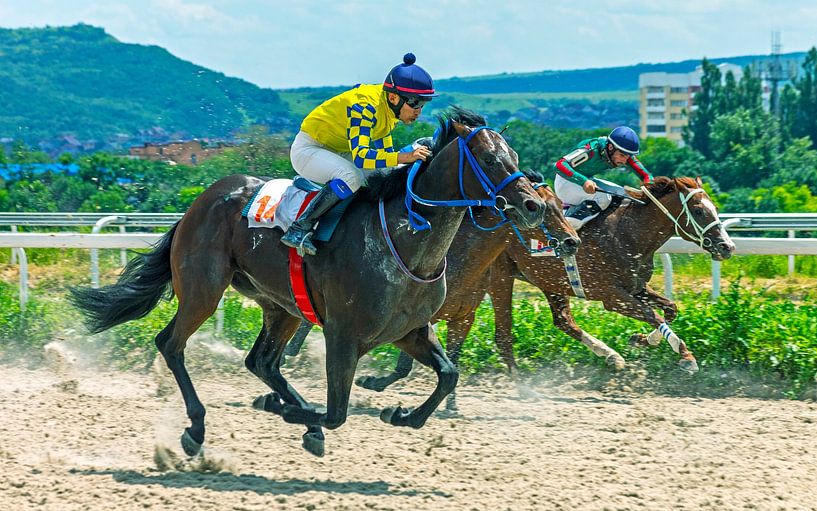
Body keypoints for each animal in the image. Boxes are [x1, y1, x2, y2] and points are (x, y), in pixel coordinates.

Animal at [68, 107, 549, 457]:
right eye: (490, 160)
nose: (533, 205)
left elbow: (448, 375)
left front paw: (400, 415)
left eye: (516, 159)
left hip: (281, 305)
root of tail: (203, 199)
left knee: (261, 362)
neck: (405, 241)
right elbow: (337, 411)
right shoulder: (343, 334)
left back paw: (288, 408)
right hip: (203, 290)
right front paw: (290, 413)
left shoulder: (409, 330)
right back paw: (200, 427)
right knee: (171, 344)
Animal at [347, 176, 736, 406]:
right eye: (699, 209)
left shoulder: (637, 288)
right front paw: (686, 357)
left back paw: (611, 355)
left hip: (549, 281)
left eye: (714, 206)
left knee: (563, 321)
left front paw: (641, 341)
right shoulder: (613, 296)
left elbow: (667, 310)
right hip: (502, 279)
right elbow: (655, 314)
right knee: (508, 333)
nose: (728, 246)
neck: (628, 234)